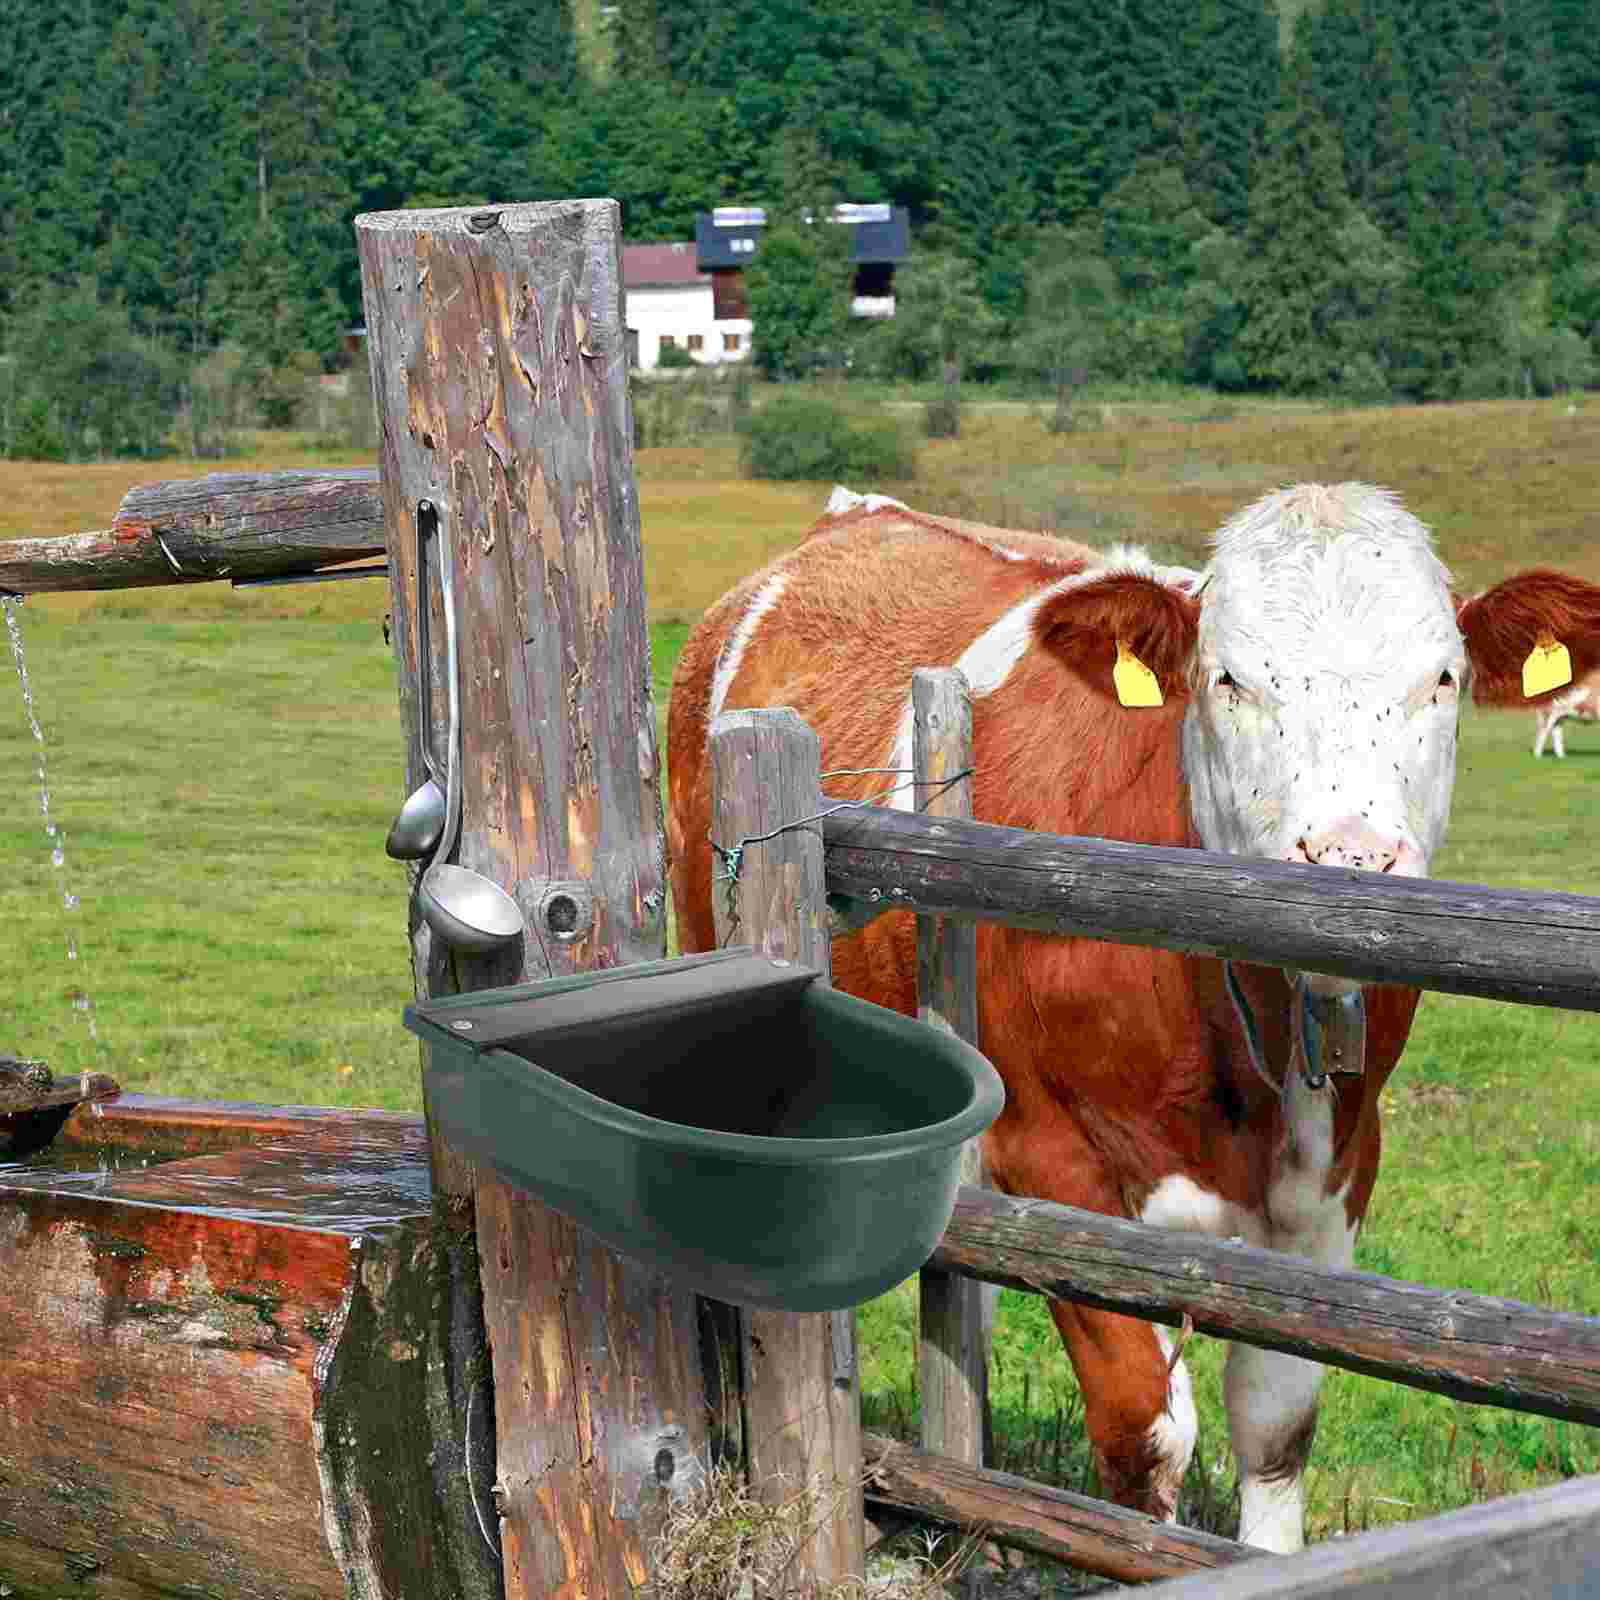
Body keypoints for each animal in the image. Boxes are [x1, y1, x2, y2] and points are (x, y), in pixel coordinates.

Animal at [665, 483, 1600, 1553]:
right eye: (1228, 679)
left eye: (1441, 678)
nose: (1351, 858)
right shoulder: (1053, 1158)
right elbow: (1143, 1432)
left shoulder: (1340, 1173)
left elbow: (1278, 1422)